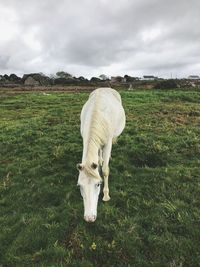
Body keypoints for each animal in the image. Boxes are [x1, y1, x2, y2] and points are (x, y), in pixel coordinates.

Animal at [76, 87, 125, 222]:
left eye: (98, 184)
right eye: (79, 186)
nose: (89, 218)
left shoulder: (107, 143)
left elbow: (105, 170)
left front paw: (106, 195)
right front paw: (98, 163)